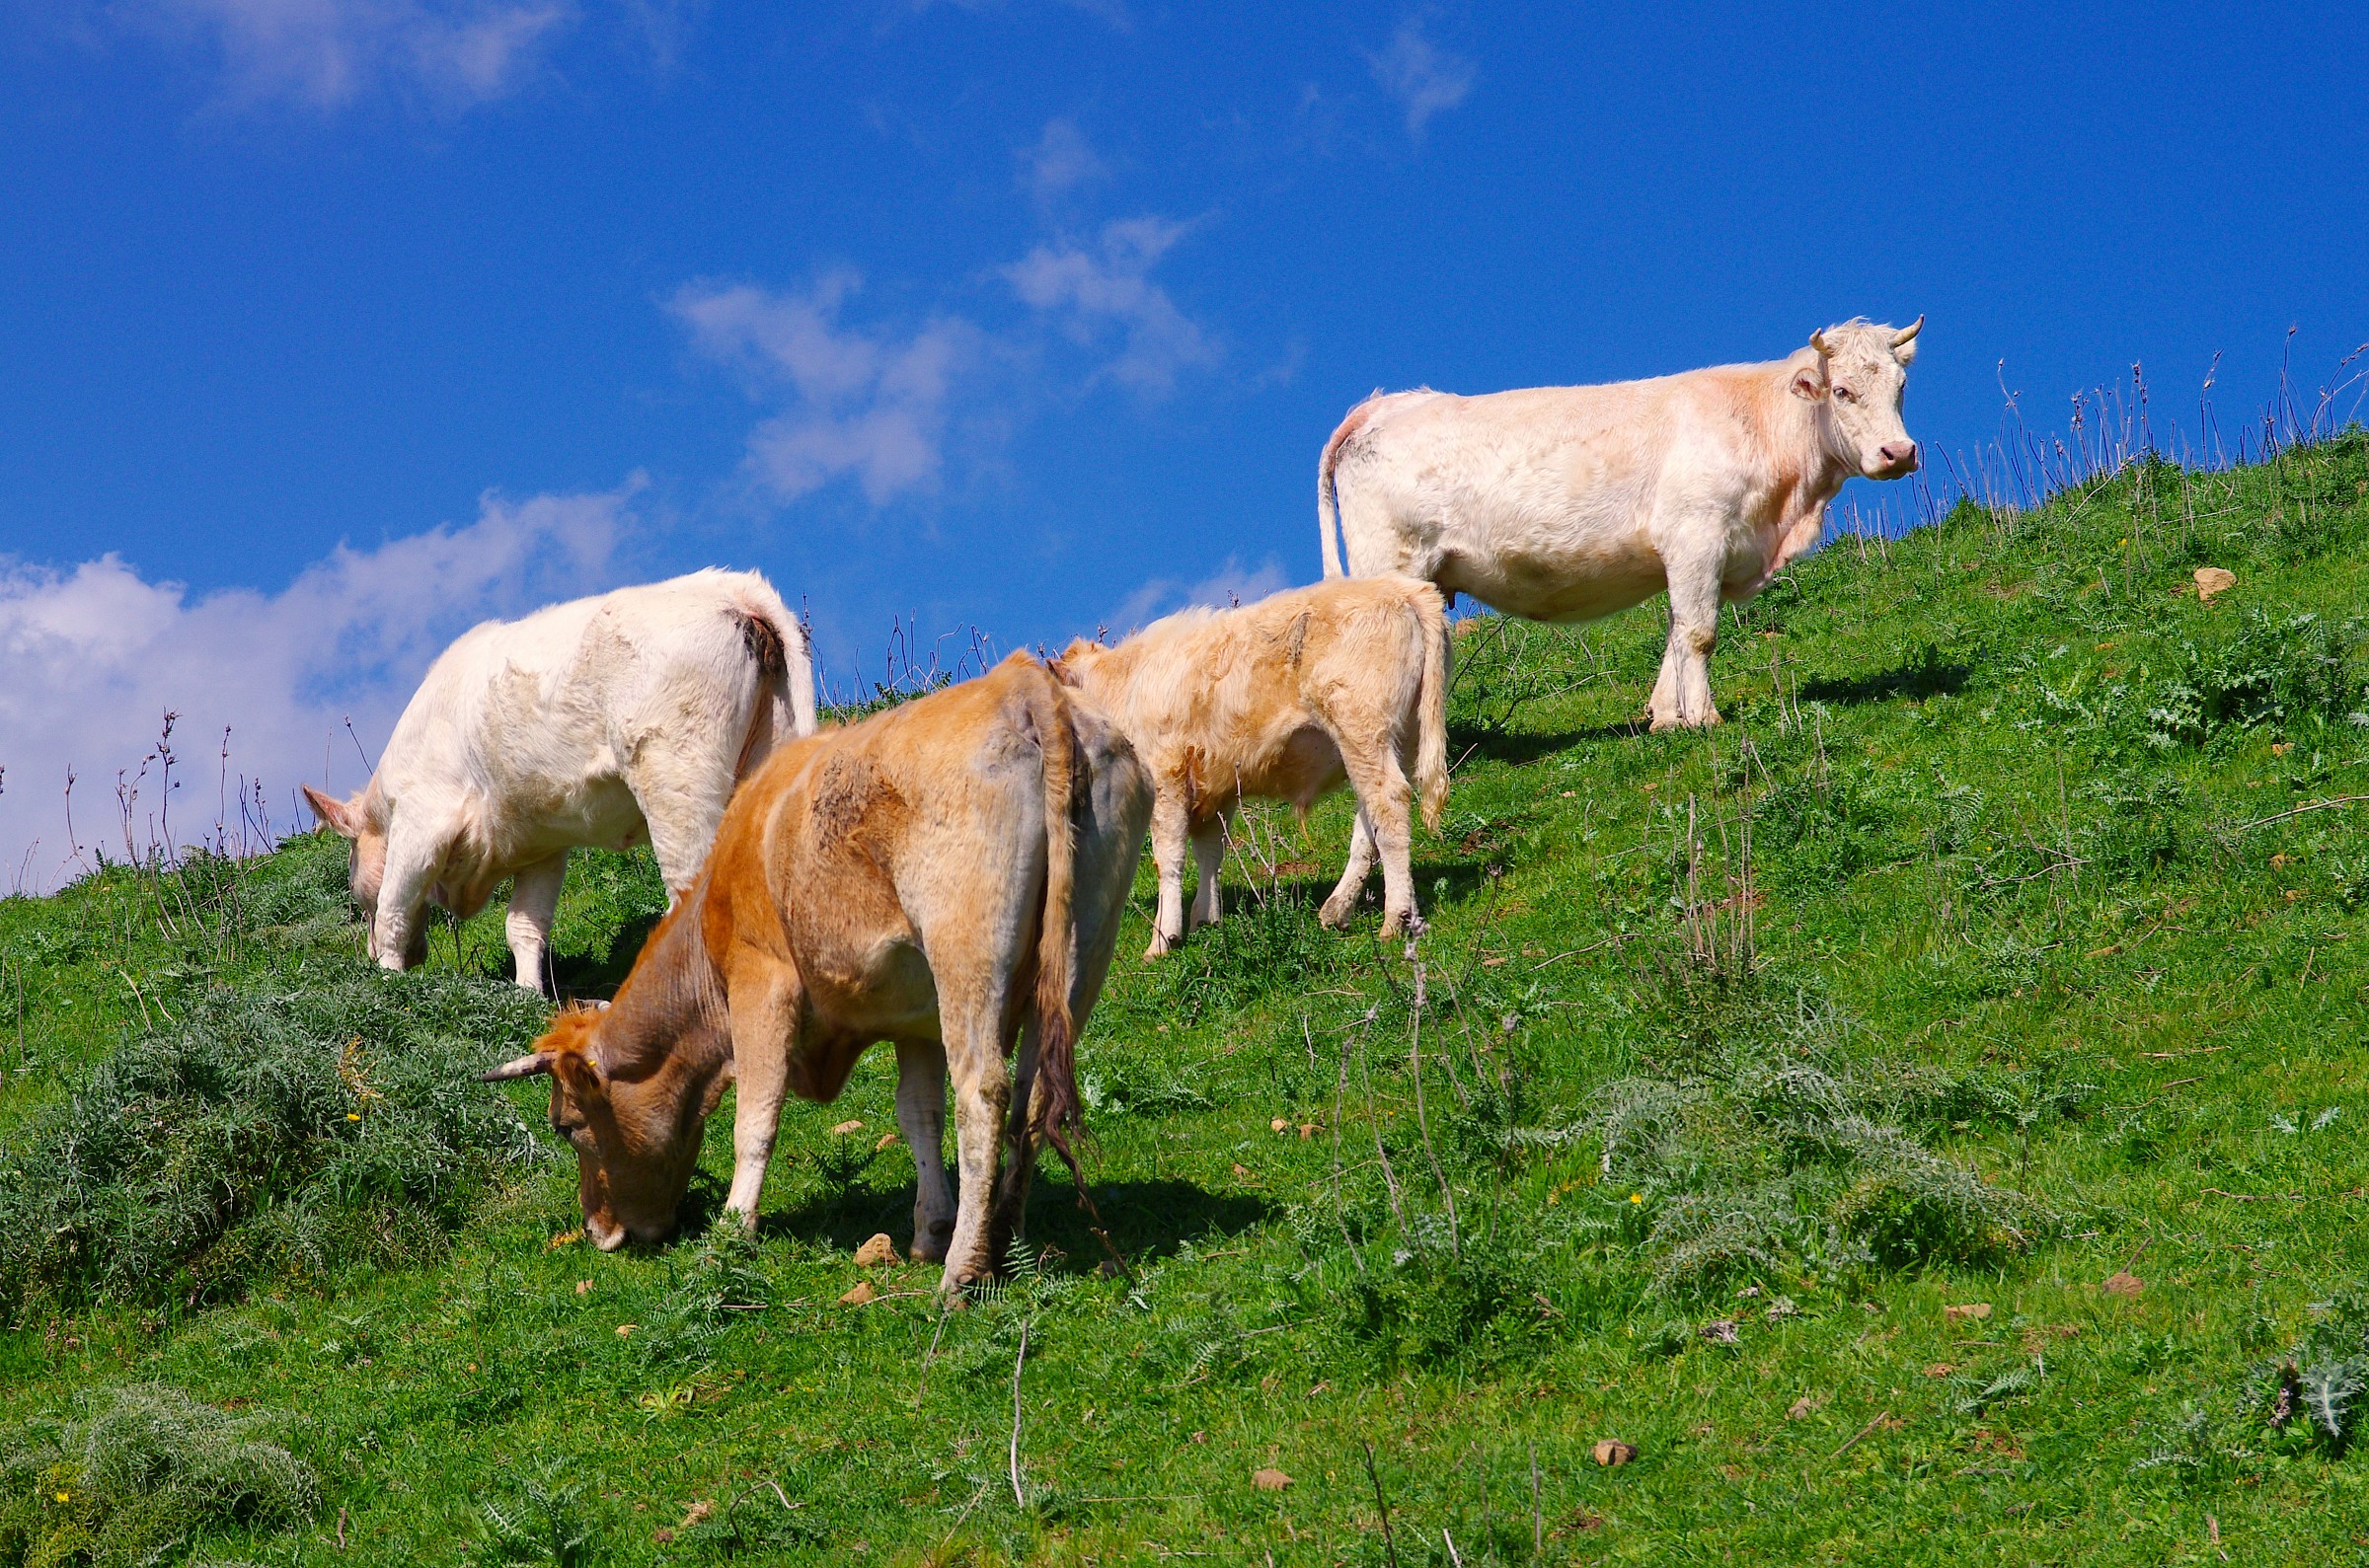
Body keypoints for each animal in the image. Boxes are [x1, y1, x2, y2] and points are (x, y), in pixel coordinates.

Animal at [300, 568, 819, 995]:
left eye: (353, 889)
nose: (375, 959)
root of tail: (732, 587)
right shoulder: (544, 844)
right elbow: (525, 925)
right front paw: (528, 996)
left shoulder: (423, 818)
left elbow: (394, 906)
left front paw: (389, 981)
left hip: (677, 776)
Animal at [474, 653, 1146, 1298]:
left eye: (566, 1127)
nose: (597, 1230)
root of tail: (1026, 687)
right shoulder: (917, 1020)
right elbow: (918, 1115)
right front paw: (930, 1228)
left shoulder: (760, 980)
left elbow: (756, 1113)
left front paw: (732, 1230)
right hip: (1083, 951)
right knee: (1034, 1096)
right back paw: (1004, 1237)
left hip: (965, 949)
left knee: (984, 1091)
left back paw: (963, 1273)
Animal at [1061, 575, 1459, 951]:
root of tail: (1404, 588)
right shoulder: (1214, 788)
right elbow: (1210, 853)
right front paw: (1206, 920)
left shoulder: (1167, 774)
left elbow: (1168, 854)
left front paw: (1163, 938)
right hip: (1397, 738)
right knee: (1369, 818)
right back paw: (1337, 911)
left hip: (1361, 724)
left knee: (1388, 803)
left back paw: (1395, 919)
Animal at [1317, 322, 1923, 738]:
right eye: (1842, 391)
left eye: (1901, 386)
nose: (1899, 452)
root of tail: (1383, 405)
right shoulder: (1697, 535)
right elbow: (1699, 634)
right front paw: (1705, 718)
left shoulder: (1696, 555)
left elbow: (1677, 630)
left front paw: (1667, 716)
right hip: (1388, 567)